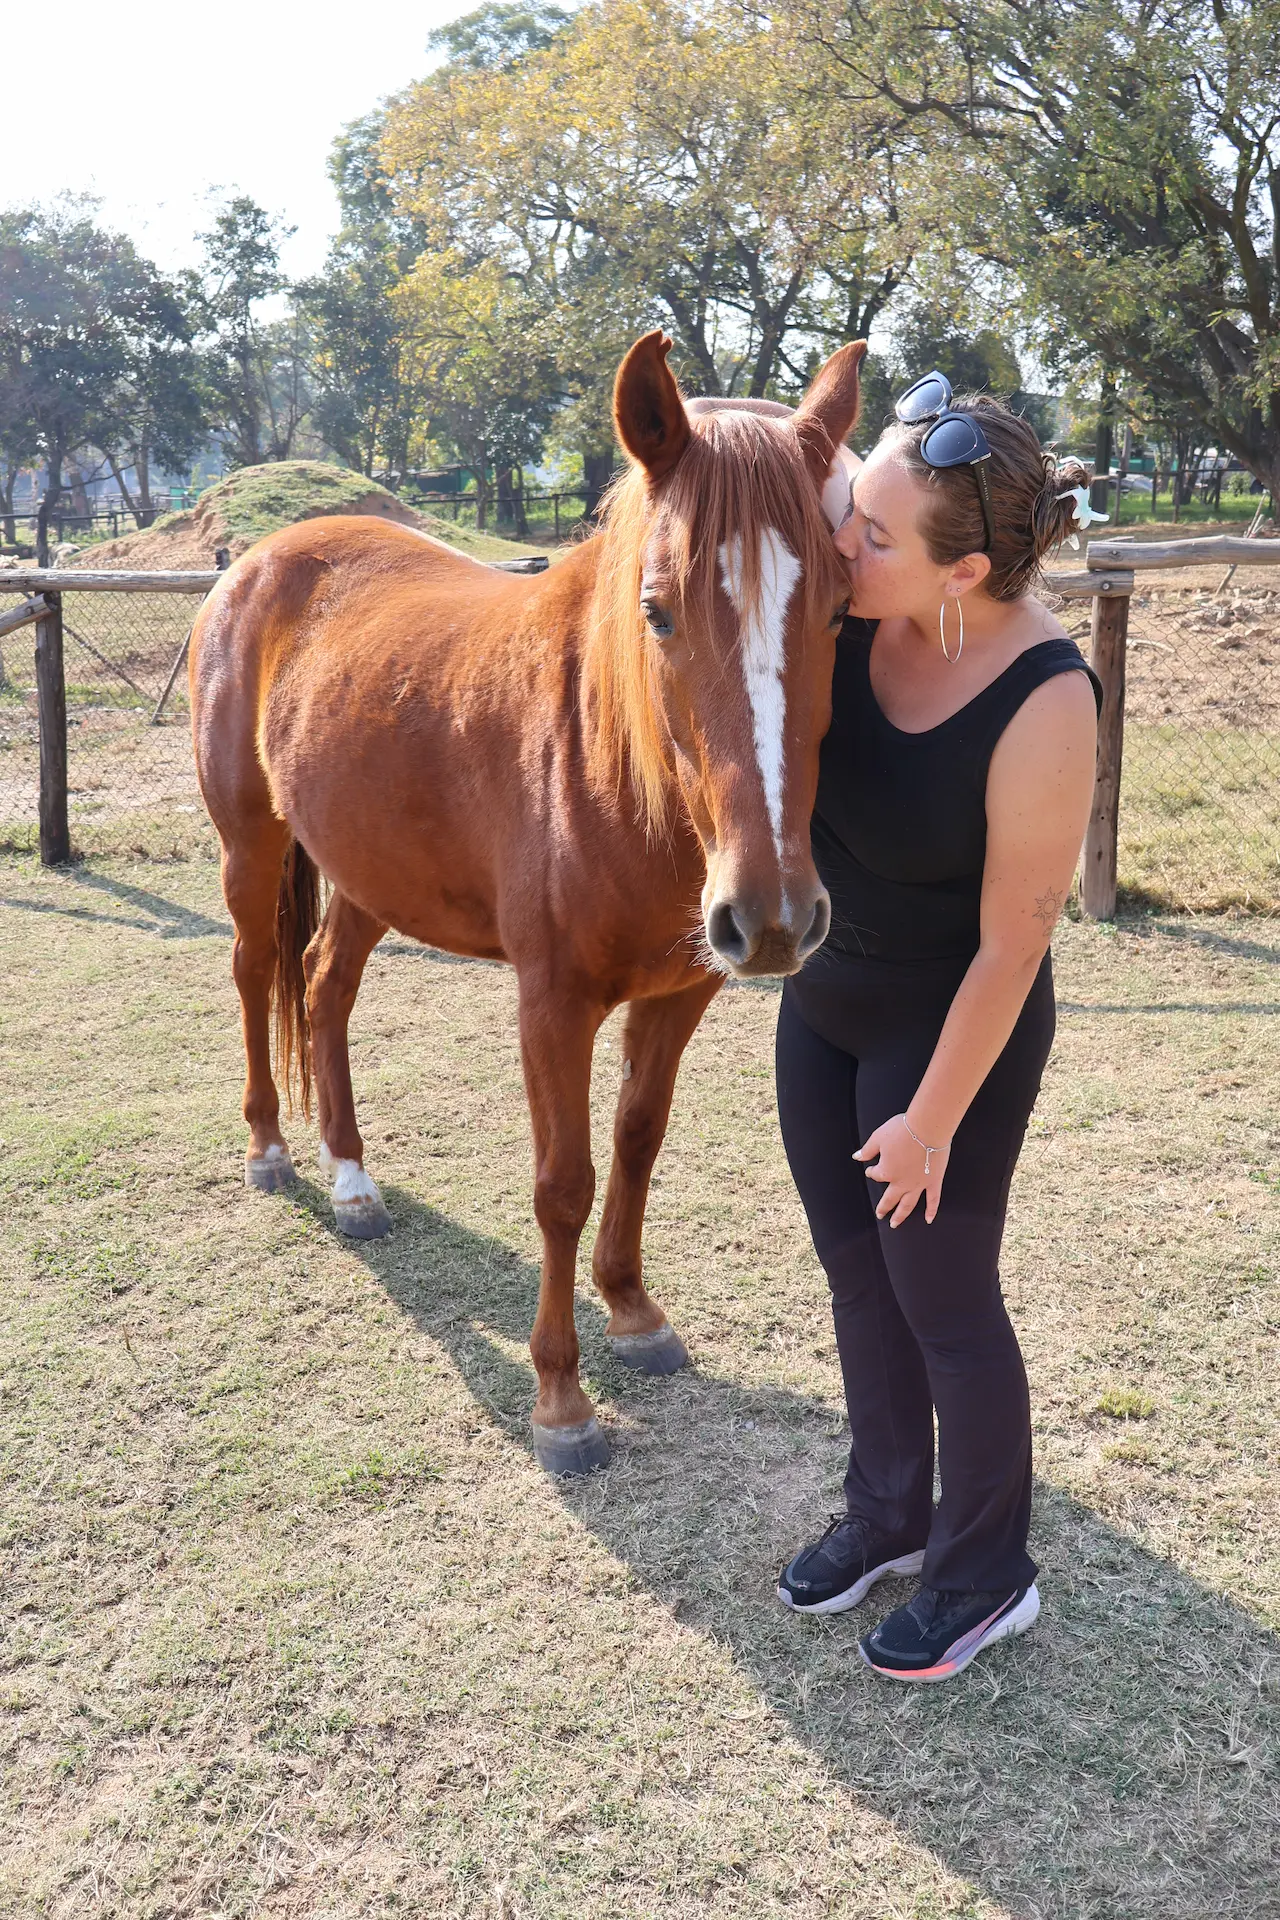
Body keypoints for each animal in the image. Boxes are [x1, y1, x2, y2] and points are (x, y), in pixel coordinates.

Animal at [189, 330, 865, 1475]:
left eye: (834, 609)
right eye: (656, 609)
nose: (773, 916)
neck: (611, 762)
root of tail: (257, 559)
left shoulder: (677, 994)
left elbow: (637, 1142)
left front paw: (632, 1312)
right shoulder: (551, 1003)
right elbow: (563, 1182)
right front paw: (560, 1401)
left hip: (369, 871)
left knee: (322, 990)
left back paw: (353, 1181)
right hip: (252, 847)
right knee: (254, 976)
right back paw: (272, 1152)